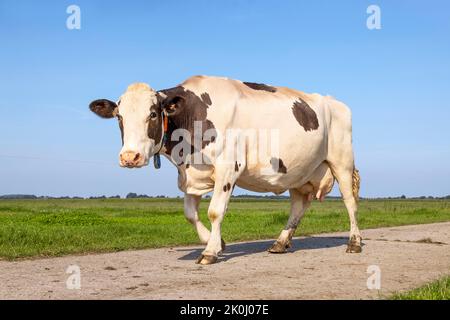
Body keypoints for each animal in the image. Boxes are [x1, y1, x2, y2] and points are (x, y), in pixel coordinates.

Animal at [89, 75, 362, 264]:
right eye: (119, 117)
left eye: (153, 114)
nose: (129, 157)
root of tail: (335, 102)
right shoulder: (190, 174)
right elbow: (190, 214)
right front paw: (217, 242)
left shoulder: (228, 167)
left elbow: (214, 211)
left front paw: (210, 252)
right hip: (299, 170)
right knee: (298, 205)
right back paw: (280, 242)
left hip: (342, 161)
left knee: (349, 201)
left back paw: (354, 242)